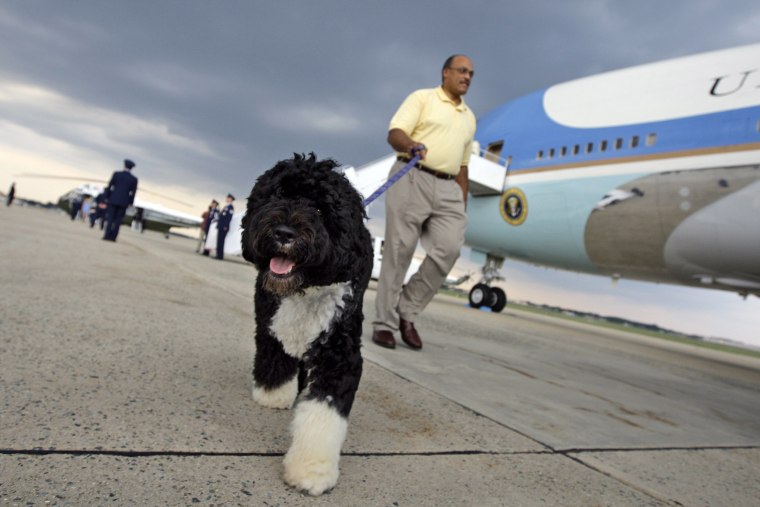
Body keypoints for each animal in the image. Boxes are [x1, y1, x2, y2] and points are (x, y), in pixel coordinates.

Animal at [240, 154, 374, 496]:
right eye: (277, 195)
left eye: (320, 209)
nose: (284, 232)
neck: (306, 286)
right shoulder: (271, 321)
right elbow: (274, 354)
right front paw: (273, 394)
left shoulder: (339, 352)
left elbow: (323, 414)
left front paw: (311, 470)